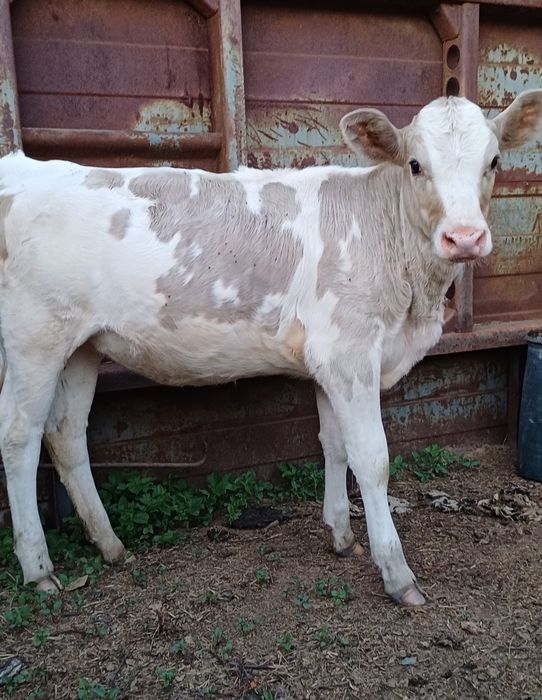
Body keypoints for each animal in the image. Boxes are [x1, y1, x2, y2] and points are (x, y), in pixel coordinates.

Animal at [1, 90, 541, 605]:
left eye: (494, 161)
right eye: (414, 164)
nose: (464, 237)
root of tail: (22, 166)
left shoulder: (329, 363)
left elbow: (333, 444)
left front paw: (341, 535)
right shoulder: (349, 353)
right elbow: (371, 459)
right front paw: (396, 573)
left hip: (82, 345)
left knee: (67, 434)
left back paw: (111, 545)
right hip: (33, 337)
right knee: (19, 436)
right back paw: (39, 569)